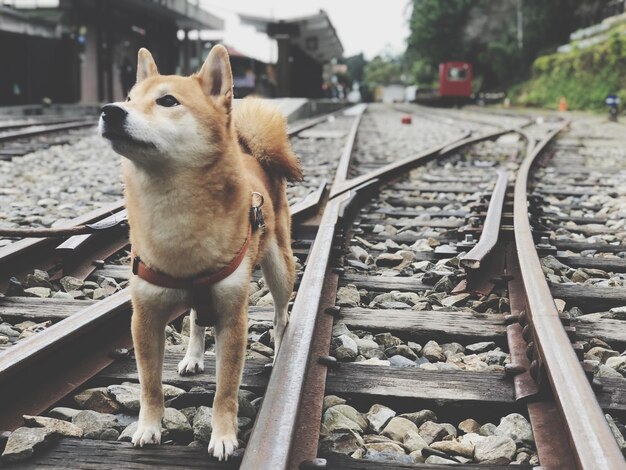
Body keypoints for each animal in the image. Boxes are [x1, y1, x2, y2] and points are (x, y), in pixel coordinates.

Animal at [98, 45, 302, 458]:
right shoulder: (144, 318)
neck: (176, 216)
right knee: (195, 318)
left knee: (279, 313)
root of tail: (253, 153)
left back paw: (279, 350)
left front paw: (223, 436)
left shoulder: (233, 318)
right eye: (128, 98)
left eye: (167, 101)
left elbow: (226, 390)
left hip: (278, 268)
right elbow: (149, 385)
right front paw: (148, 427)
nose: (110, 111)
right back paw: (192, 357)